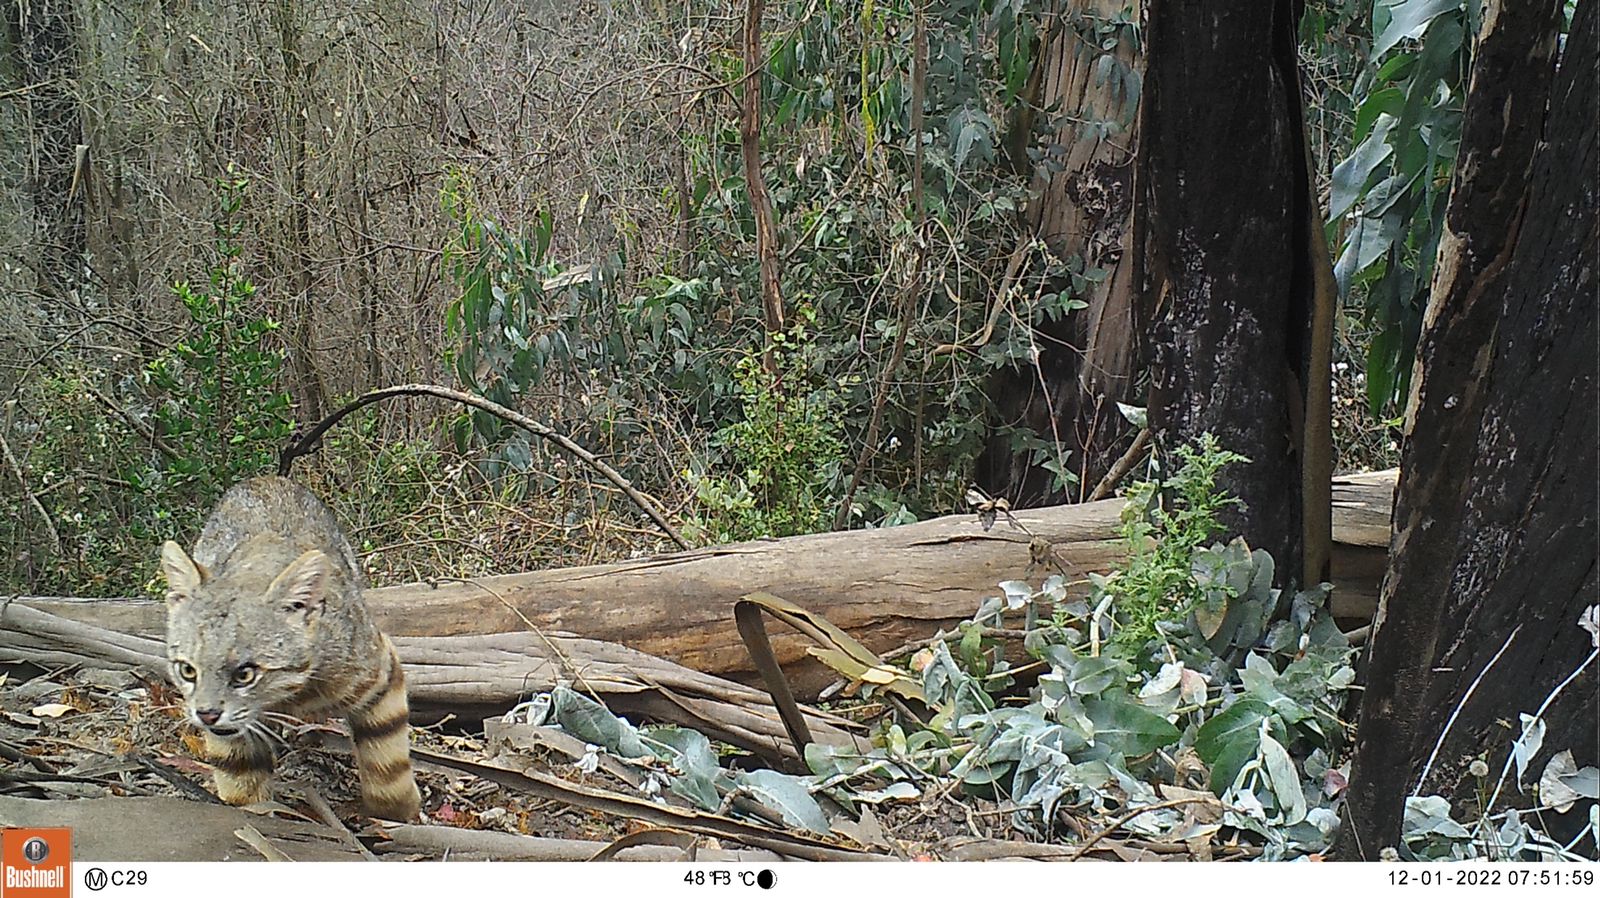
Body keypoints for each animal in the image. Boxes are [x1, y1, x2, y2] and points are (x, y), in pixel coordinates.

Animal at [160, 477, 422, 819]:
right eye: (187, 670)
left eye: (245, 674)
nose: (206, 714)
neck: (292, 693)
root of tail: (265, 478)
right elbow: (241, 777)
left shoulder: (379, 671)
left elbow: (387, 760)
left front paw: (400, 815)